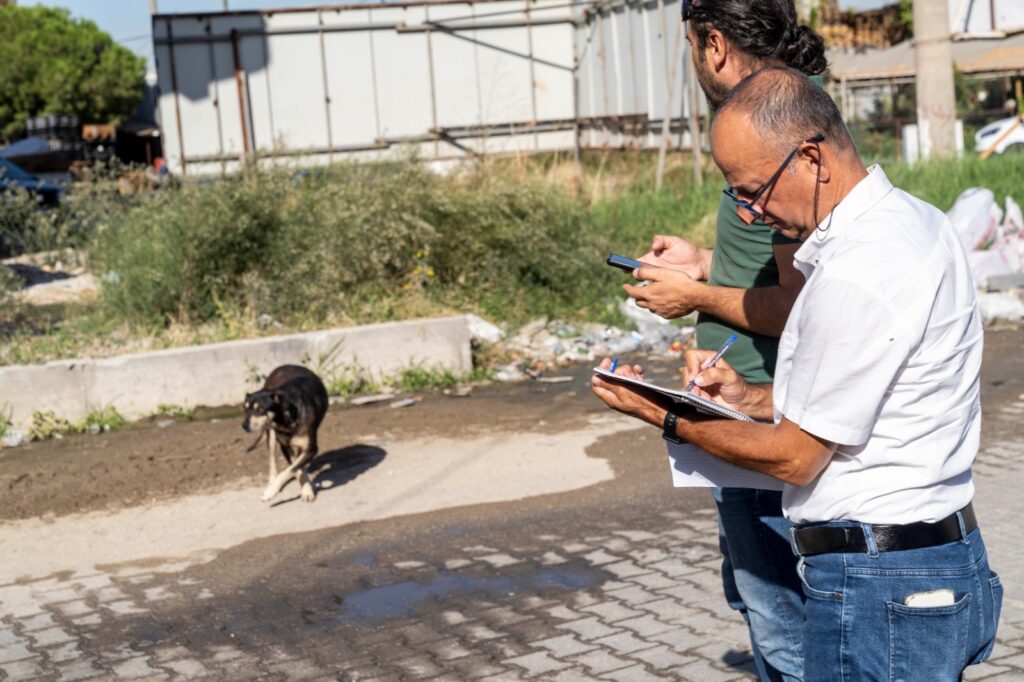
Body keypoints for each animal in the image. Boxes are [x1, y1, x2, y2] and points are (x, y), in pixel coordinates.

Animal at [240, 364, 327, 501]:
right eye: (245, 409)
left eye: (260, 410)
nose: (244, 426)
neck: (287, 419)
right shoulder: (285, 447)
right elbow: (295, 469)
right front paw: (306, 489)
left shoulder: (311, 449)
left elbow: (291, 469)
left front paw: (271, 492)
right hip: (270, 436)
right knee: (272, 460)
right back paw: (272, 481)